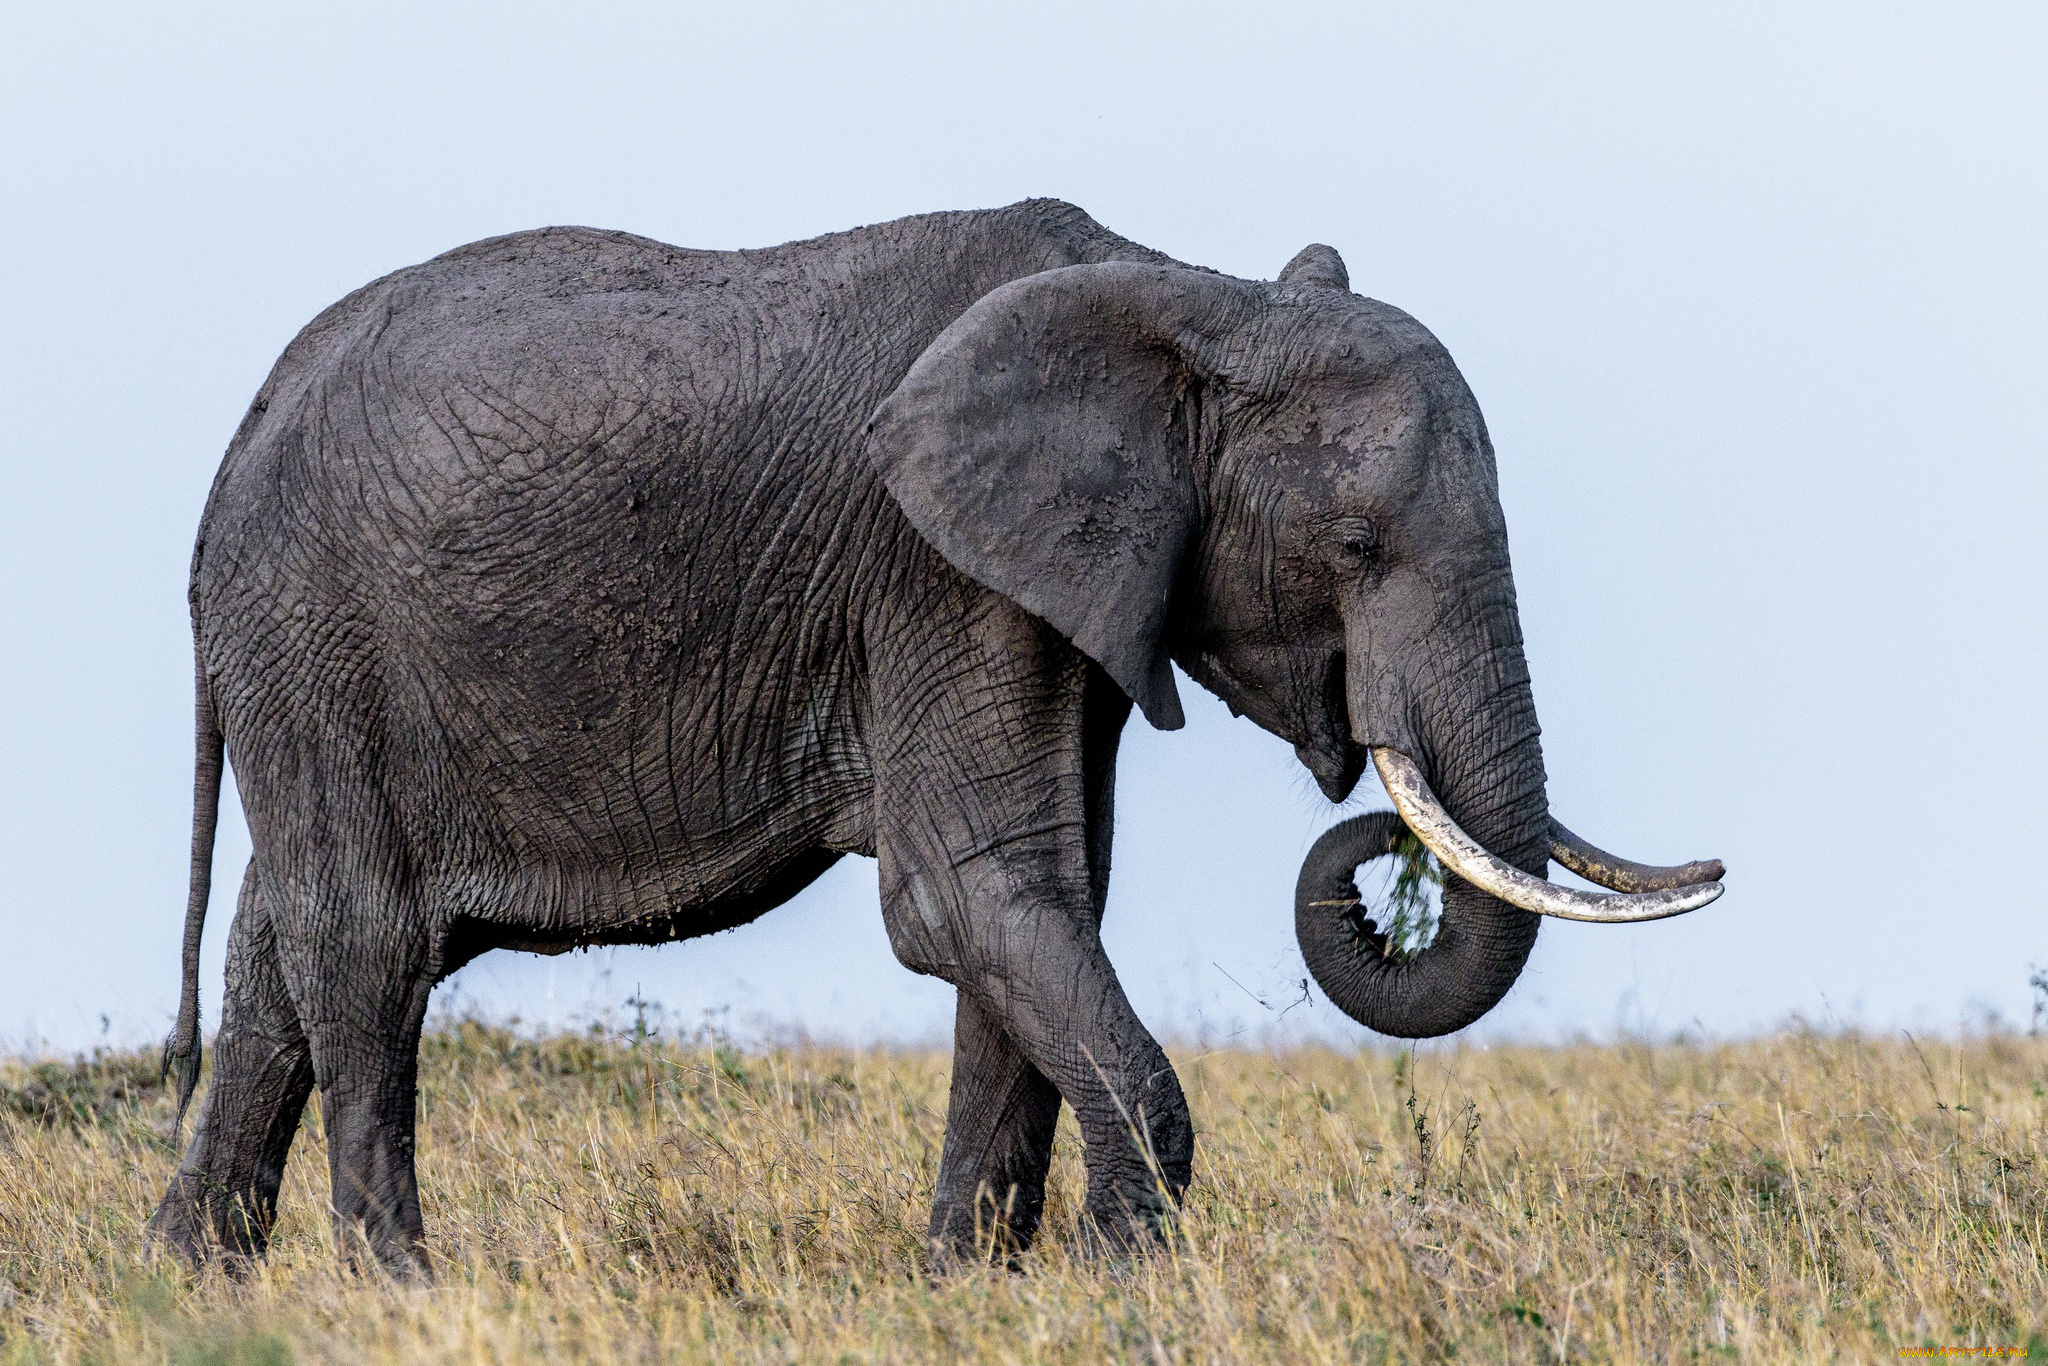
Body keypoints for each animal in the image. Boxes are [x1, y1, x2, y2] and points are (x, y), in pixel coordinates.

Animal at [148, 197, 1712, 1277]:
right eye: (1355, 547)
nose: (1376, 859)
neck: (1188, 296)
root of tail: (244, 427)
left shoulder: (1056, 589)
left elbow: (1041, 902)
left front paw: (971, 1284)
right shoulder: (932, 573)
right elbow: (969, 897)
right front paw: (1122, 1281)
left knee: (275, 952)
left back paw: (193, 1282)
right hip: (314, 624)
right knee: (364, 941)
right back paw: (395, 1290)